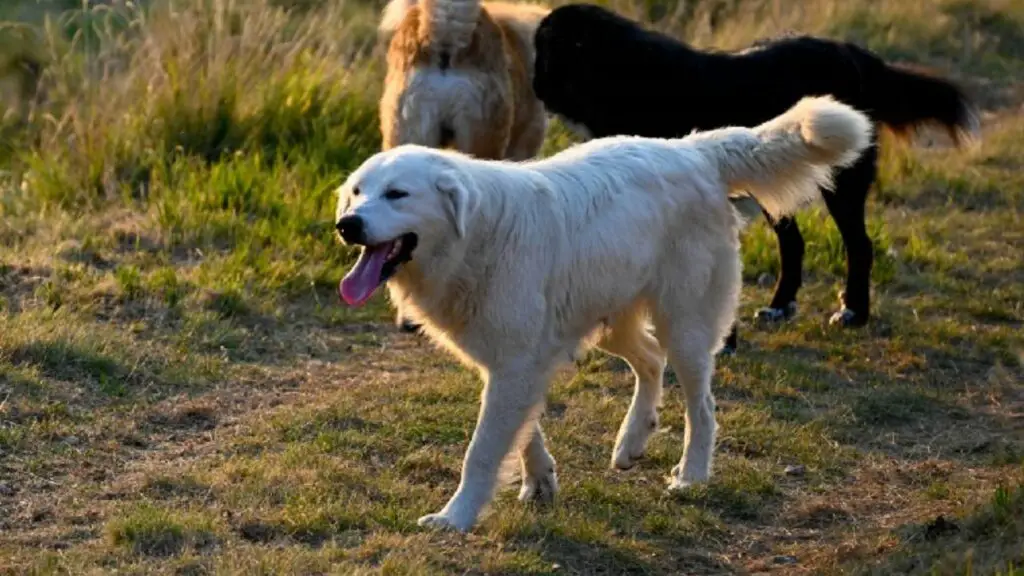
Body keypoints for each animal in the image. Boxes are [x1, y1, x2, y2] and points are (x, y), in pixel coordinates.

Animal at [333, 95, 872, 528]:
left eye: (397, 194)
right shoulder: (514, 364)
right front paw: (540, 482)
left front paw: (455, 518)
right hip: (612, 319)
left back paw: (691, 476)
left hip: (684, 325)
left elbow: (482, 452)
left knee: (702, 405)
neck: (476, 238)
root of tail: (693, 151)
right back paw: (632, 441)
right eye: (358, 192)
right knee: (651, 361)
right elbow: (524, 432)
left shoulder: (514, 366)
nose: (346, 224)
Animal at [532, 4, 978, 352]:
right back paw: (781, 305)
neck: (627, 78)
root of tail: (855, 53)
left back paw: (853, 310)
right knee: (795, 244)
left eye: (548, 53)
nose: (535, 87)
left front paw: (723, 341)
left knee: (859, 244)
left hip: (843, 182)